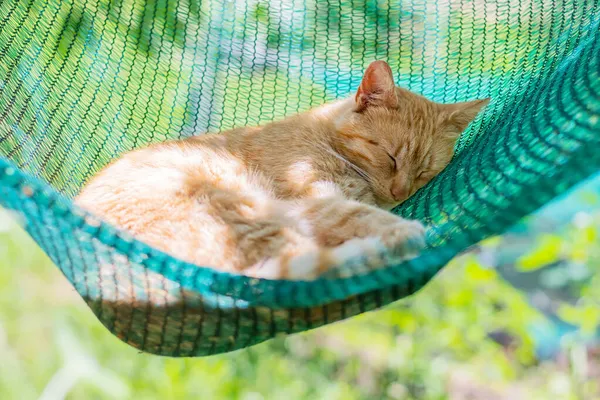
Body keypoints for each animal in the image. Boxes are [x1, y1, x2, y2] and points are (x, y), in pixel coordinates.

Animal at [74, 61, 488, 282]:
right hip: (242, 211)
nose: (400, 194)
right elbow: (358, 214)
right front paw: (411, 229)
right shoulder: (312, 200)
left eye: (425, 172)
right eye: (390, 157)